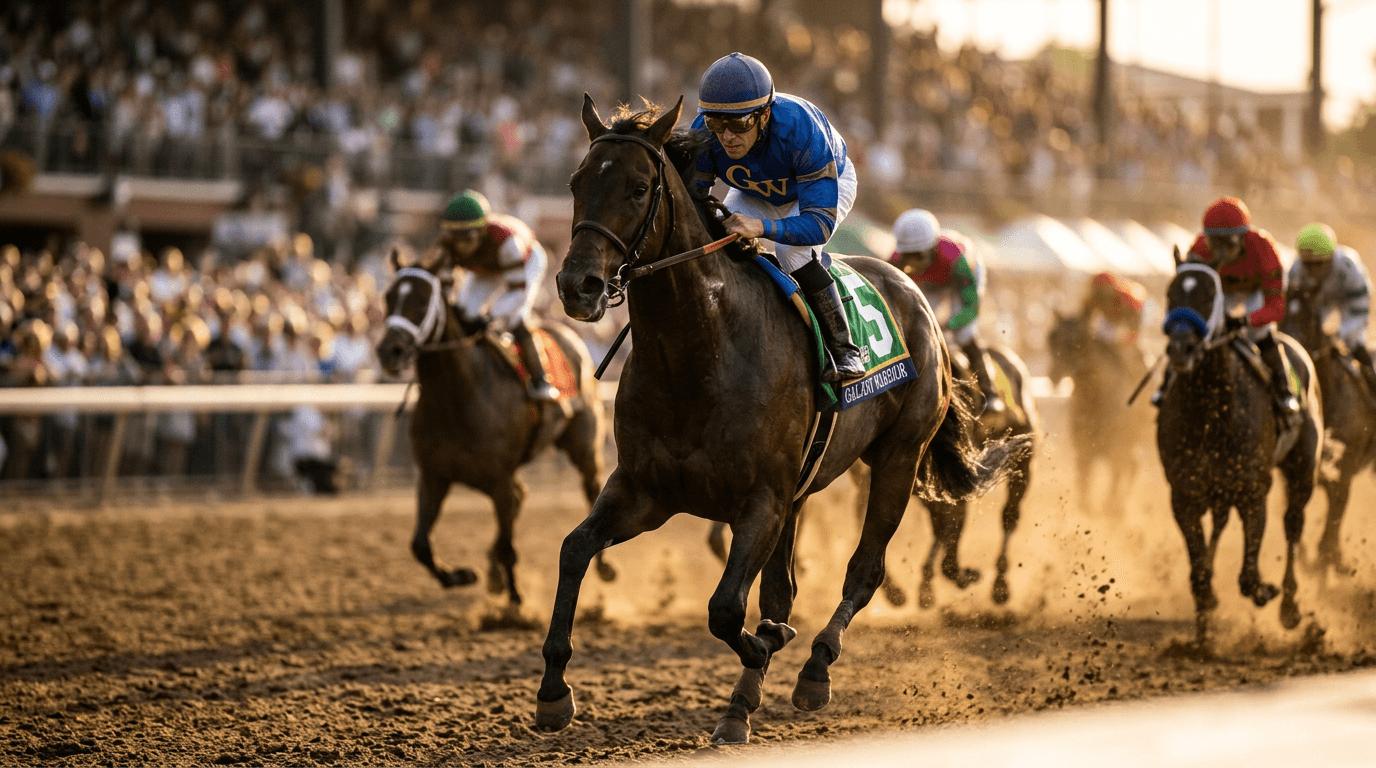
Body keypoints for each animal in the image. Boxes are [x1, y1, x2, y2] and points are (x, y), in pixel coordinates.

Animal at [373, 248, 615, 608]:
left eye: (420, 299)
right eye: (389, 297)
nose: (389, 351)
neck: (457, 398)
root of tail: (570, 334)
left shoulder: (498, 481)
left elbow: (506, 545)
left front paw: (514, 601)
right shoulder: (433, 477)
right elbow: (420, 545)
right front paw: (462, 575)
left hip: (583, 444)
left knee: (590, 489)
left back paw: (603, 566)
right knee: (521, 496)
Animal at [535, 95, 1031, 744]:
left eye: (639, 187)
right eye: (575, 183)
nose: (578, 285)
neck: (699, 352)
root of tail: (913, 292)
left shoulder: (761, 500)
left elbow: (726, 609)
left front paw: (771, 645)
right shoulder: (647, 490)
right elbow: (574, 549)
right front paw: (553, 689)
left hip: (897, 460)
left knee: (863, 571)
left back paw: (815, 668)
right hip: (801, 491)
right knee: (782, 589)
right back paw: (741, 706)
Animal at [1047, 311, 1153, 516]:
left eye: (1079, 341)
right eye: (1052, 339)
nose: (1054, 375)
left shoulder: (1117, 448)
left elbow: (1115, 480)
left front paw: (1111, 509)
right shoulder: (1084, 450)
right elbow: (1084, 491)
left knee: (1131, 467)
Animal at [1157, 249, 1322, 647]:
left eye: (1207, 295)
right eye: (1170, 294)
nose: (1181, 348)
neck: (1210, 411)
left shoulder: (1252, 491)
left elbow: (1248, 577)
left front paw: (1265, 589)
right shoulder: (1184, 495)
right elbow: (1200, 574)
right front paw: (1203, 626)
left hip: (1302, 469)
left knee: (1293, 525)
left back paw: (1289, 606)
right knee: (1219, 525)